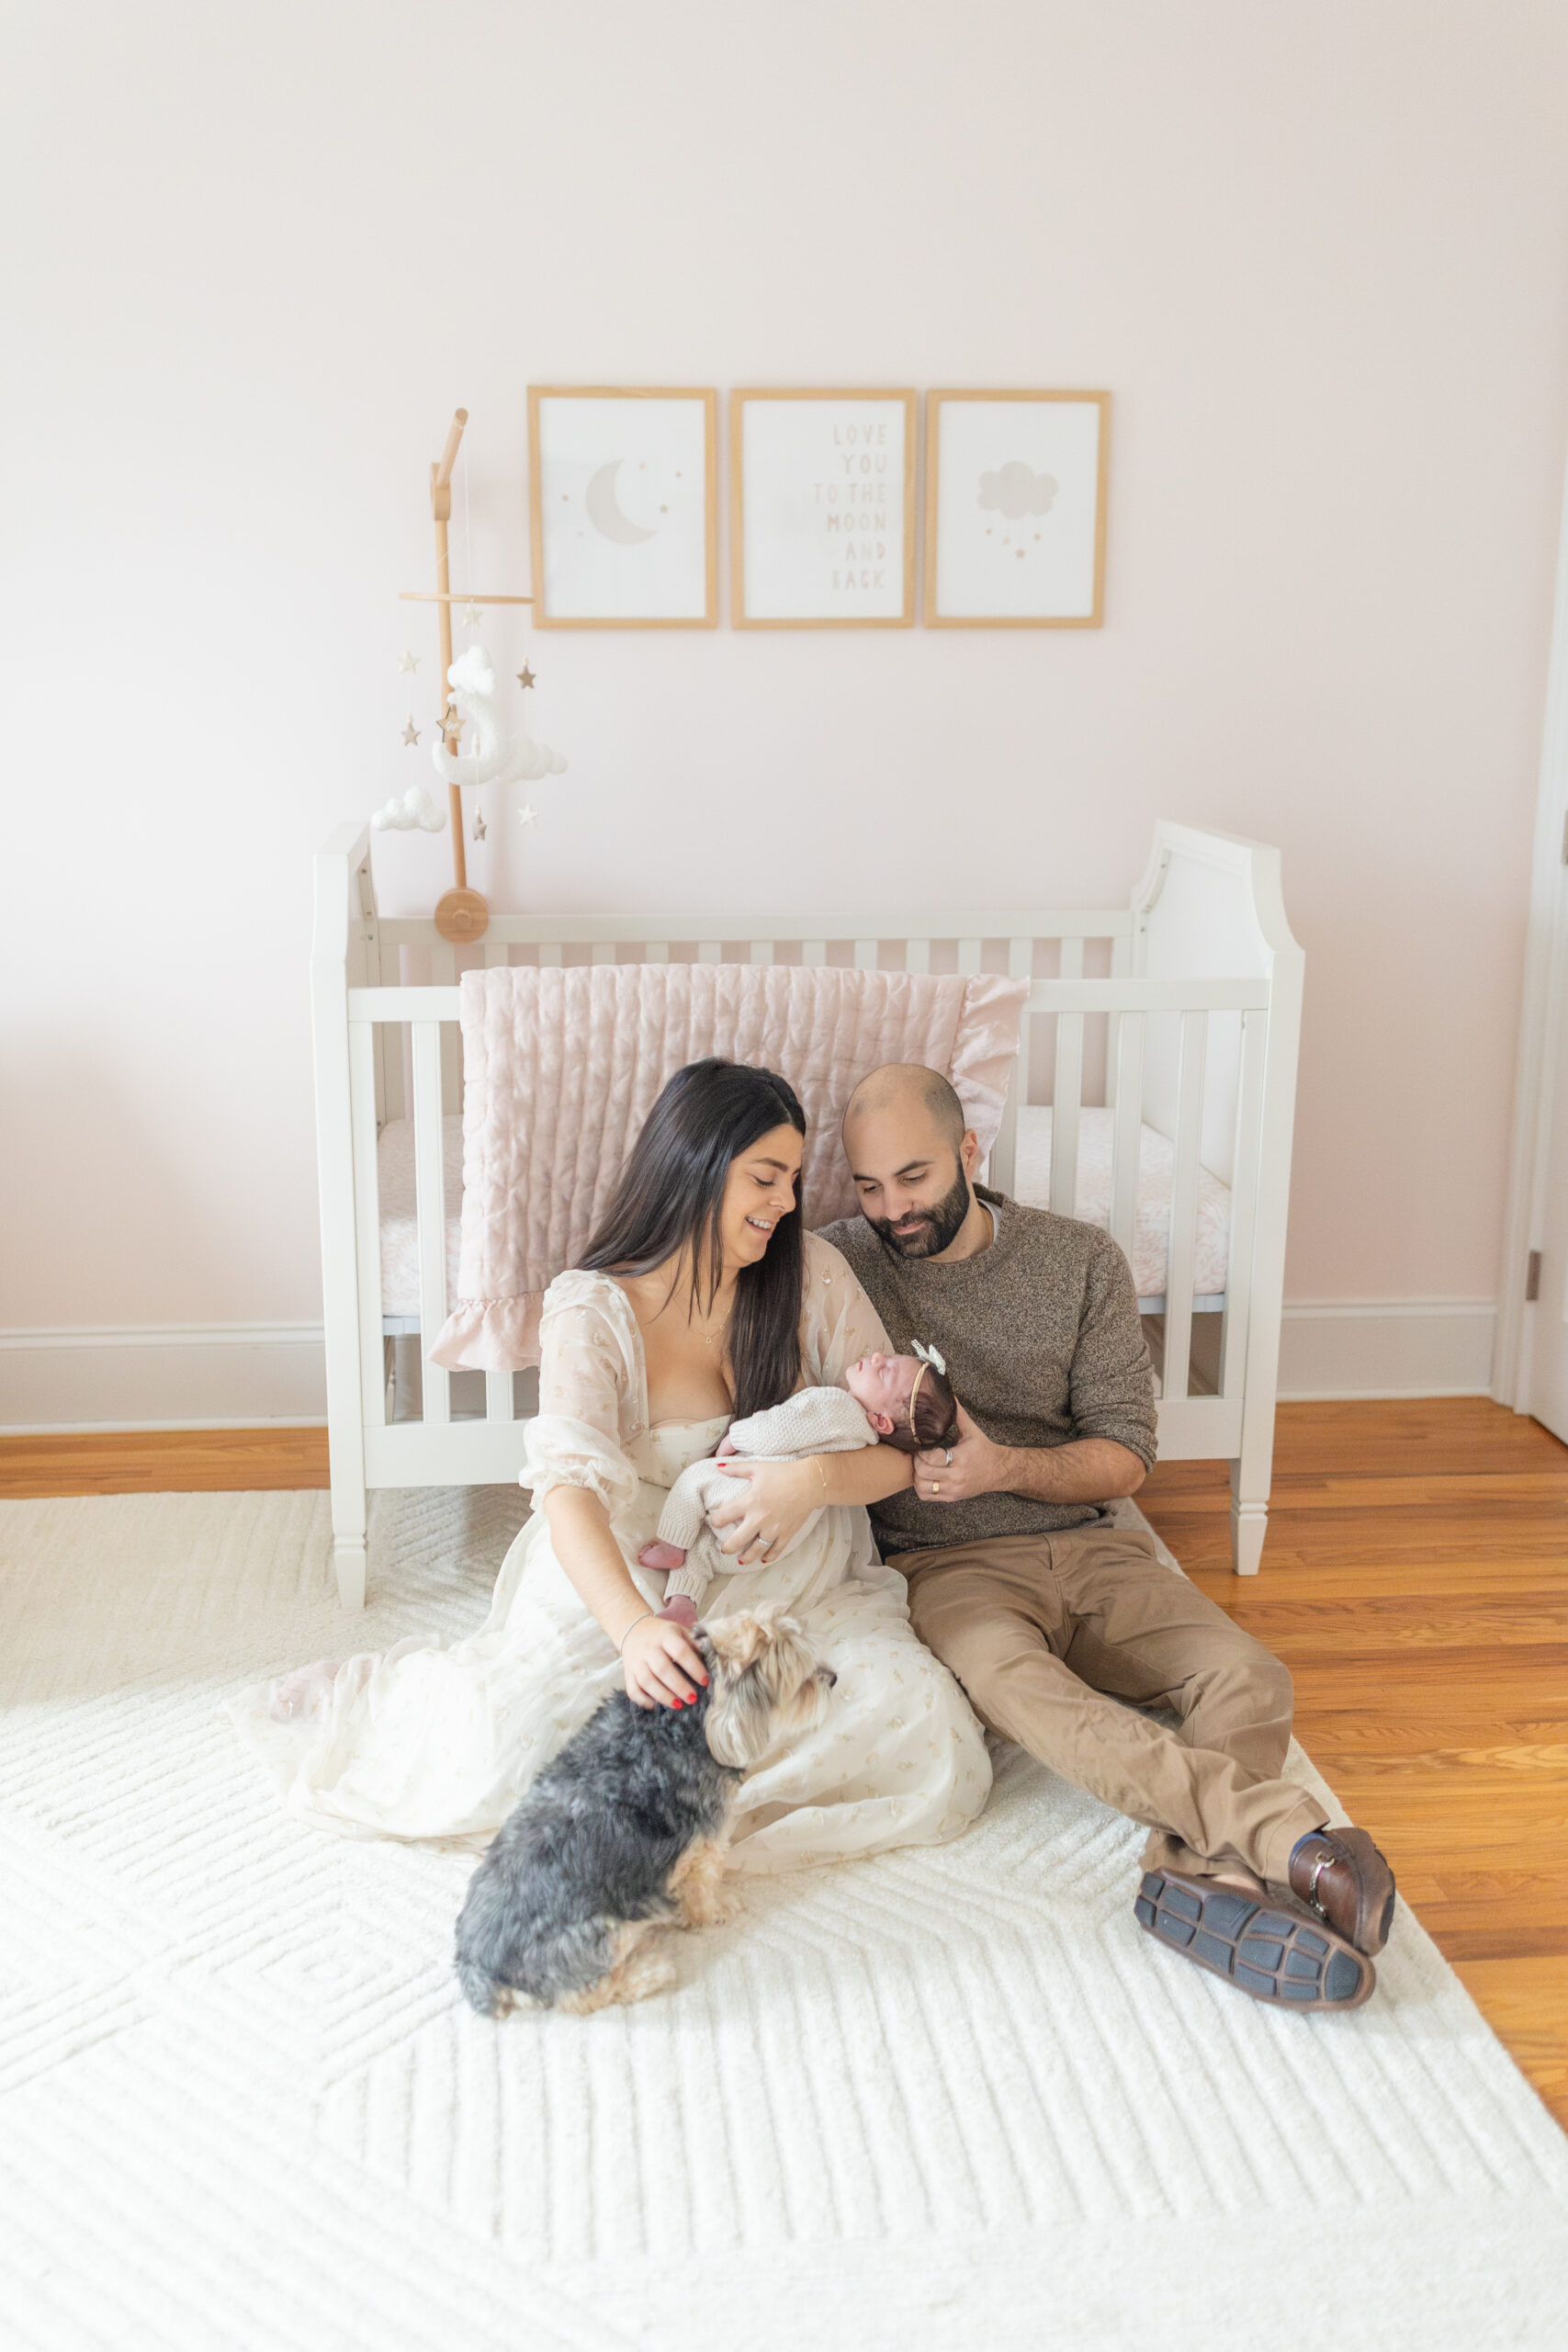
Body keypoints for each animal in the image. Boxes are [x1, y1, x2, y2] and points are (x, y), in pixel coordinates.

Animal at [451, 1609, 831, 2013]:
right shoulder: (703, 1845)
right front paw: (716, 1909)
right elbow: (703, 1891)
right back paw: (651, 1970)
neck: (673, 1722)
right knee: (586, 1995)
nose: (834, 1678)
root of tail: (478, 1967)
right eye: (803, 1676)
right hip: (606, 1932)